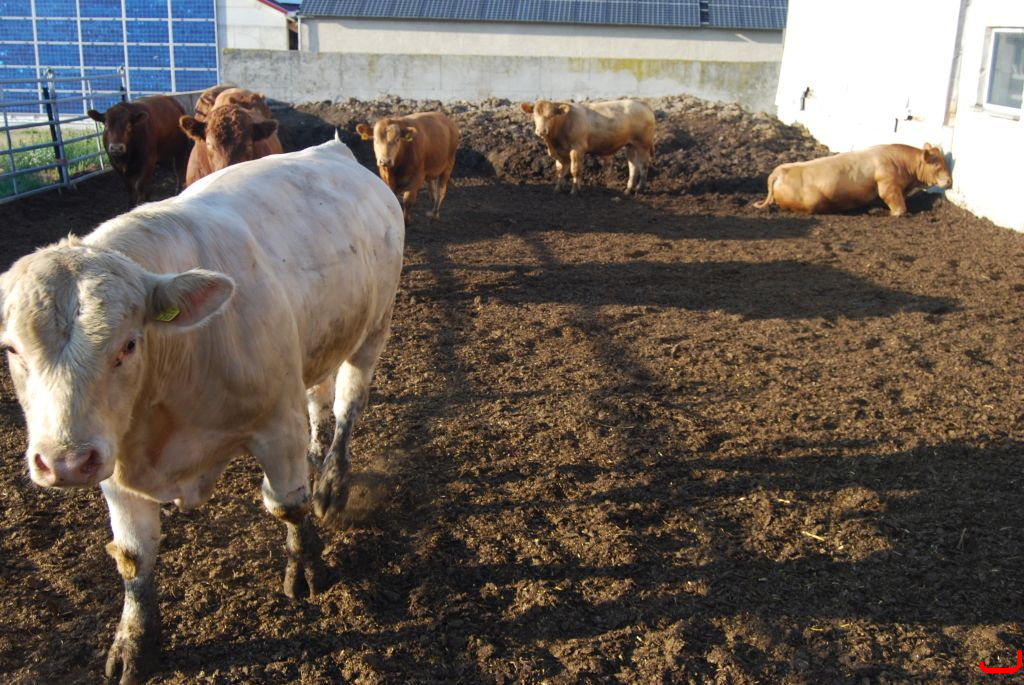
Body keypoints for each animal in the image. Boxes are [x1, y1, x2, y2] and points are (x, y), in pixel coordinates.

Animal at [0, 139, 405, 684]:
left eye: (129, 344)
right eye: (12, 349)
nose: (63, 462)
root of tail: (336, 149)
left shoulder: (276, 425)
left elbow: (288, 506)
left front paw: (306, 566)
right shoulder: (114, 458)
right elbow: (133, 557)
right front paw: (135, 643)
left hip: (373, 330)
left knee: (346, 409)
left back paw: (332, 483)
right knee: (319, 402)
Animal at [521, 98, 656, 195]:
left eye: (551, 116)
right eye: (534, 115)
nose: (541, 131)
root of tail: (641, 103)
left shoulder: (576, 149)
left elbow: (575, 170)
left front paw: (574, 191)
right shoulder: (560, 153)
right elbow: (560, 171)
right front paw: (558, 189)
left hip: (643, 145)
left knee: (643, 165)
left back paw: (640, 188)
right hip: (631, 145)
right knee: (633, 166)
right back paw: (628, 190)